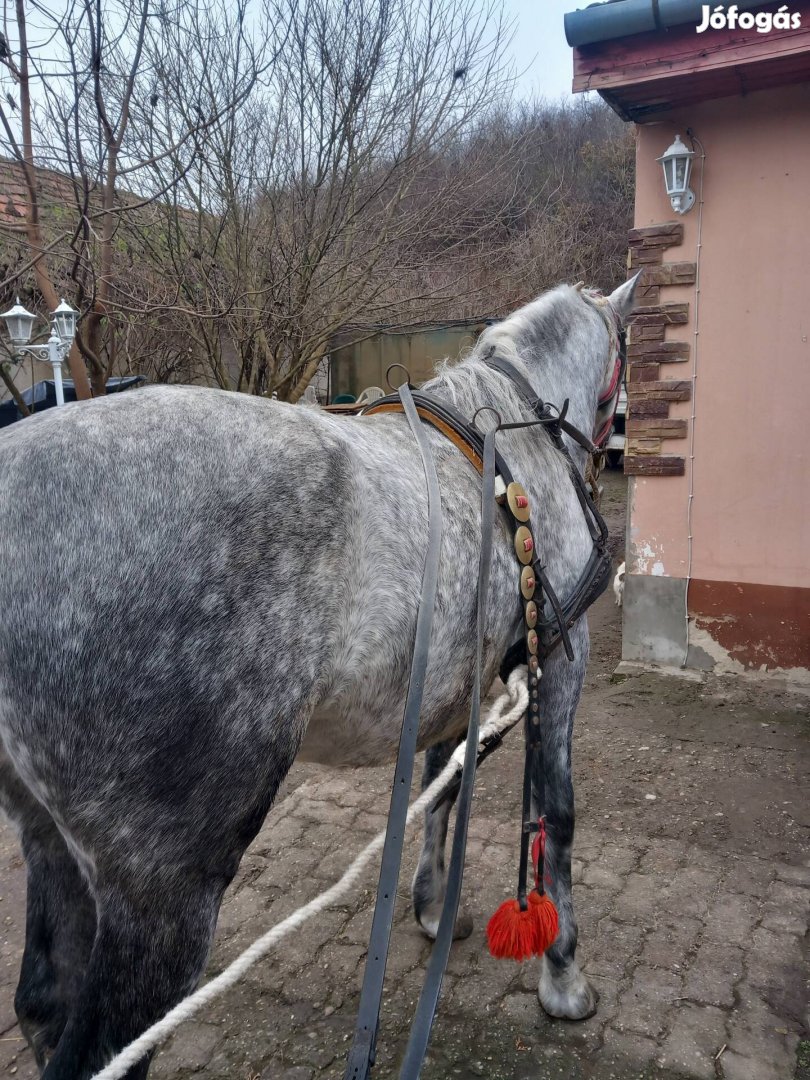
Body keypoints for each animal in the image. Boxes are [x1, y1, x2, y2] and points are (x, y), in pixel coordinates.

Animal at [0, 274, 639, 1075]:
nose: (610, 451)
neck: (514, 442)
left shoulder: (451, 679)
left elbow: (443, 783)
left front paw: (435, 907)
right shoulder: (561, 656)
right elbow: (556, 812)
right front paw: (563, 976)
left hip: (48, 834)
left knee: (42, 1002)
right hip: (163, 889)